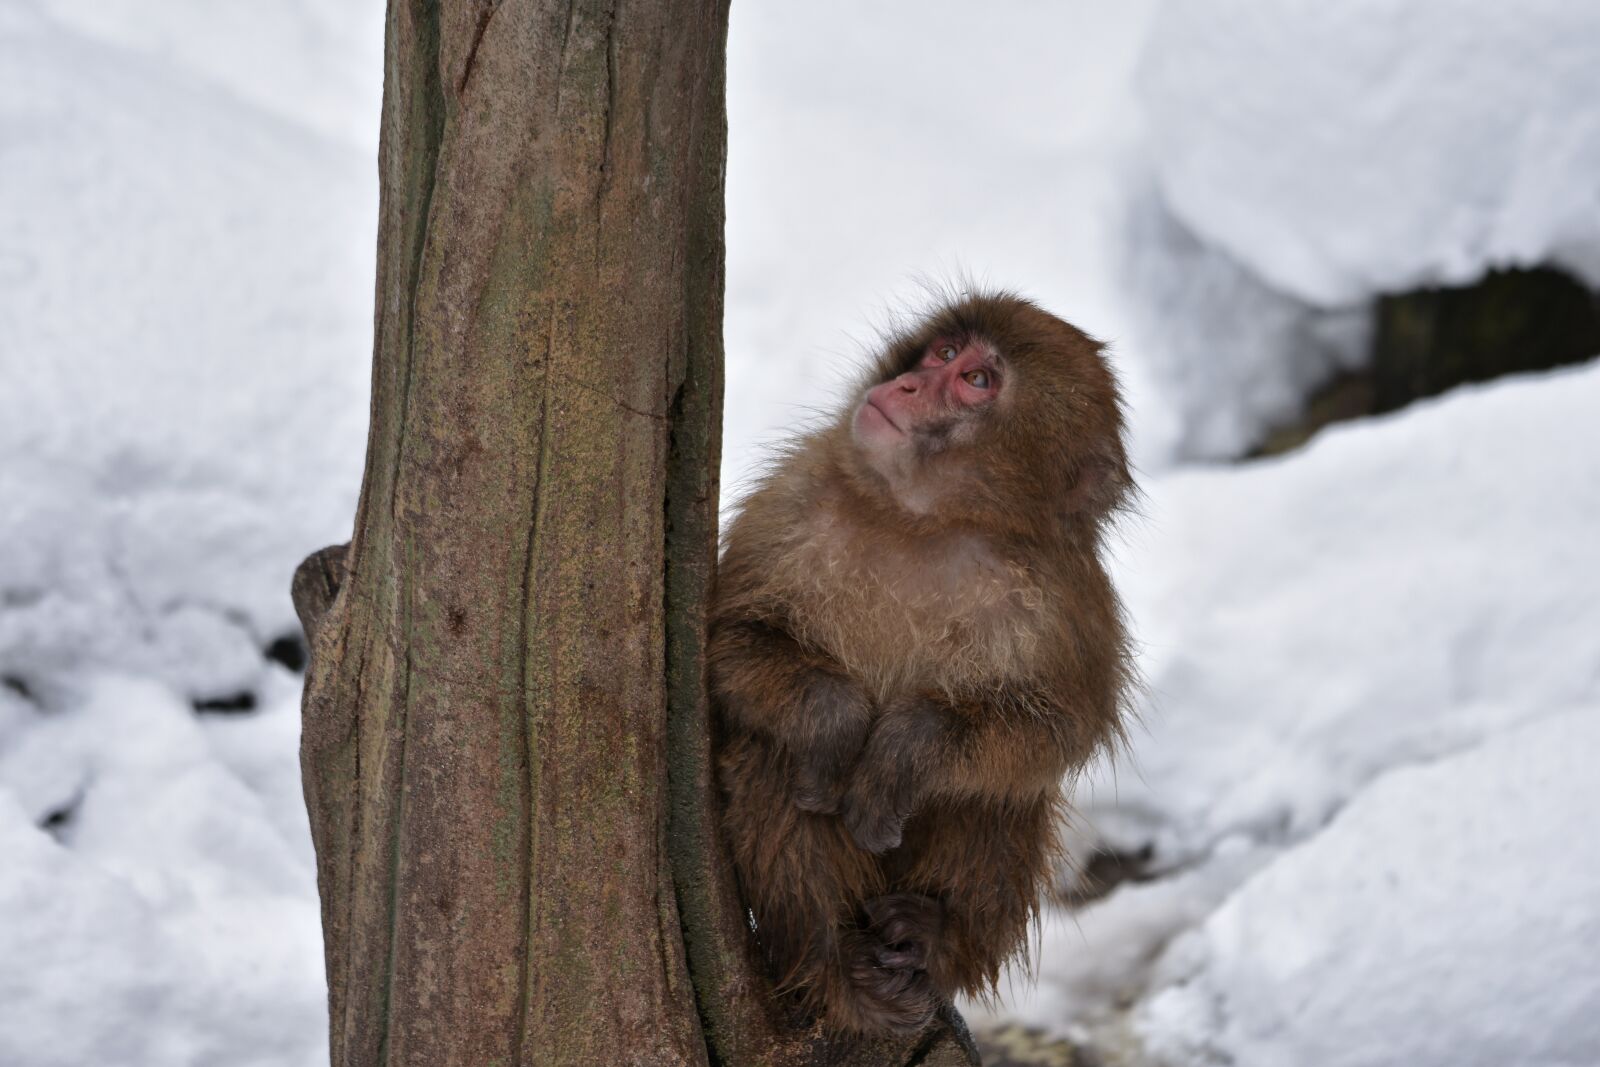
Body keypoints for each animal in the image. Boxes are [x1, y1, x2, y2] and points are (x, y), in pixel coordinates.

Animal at [709, 290, 1136, 1036]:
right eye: (943, 352)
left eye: (977, 381)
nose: (907, 385)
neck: (921, 523)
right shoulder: (795, 493)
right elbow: (732, 637)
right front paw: (835, 716)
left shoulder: (1063, 593)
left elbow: (1061, 727)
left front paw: (906, 744)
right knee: (774, 757)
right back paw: (833, 963)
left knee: (998, 795)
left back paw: (937, 939)